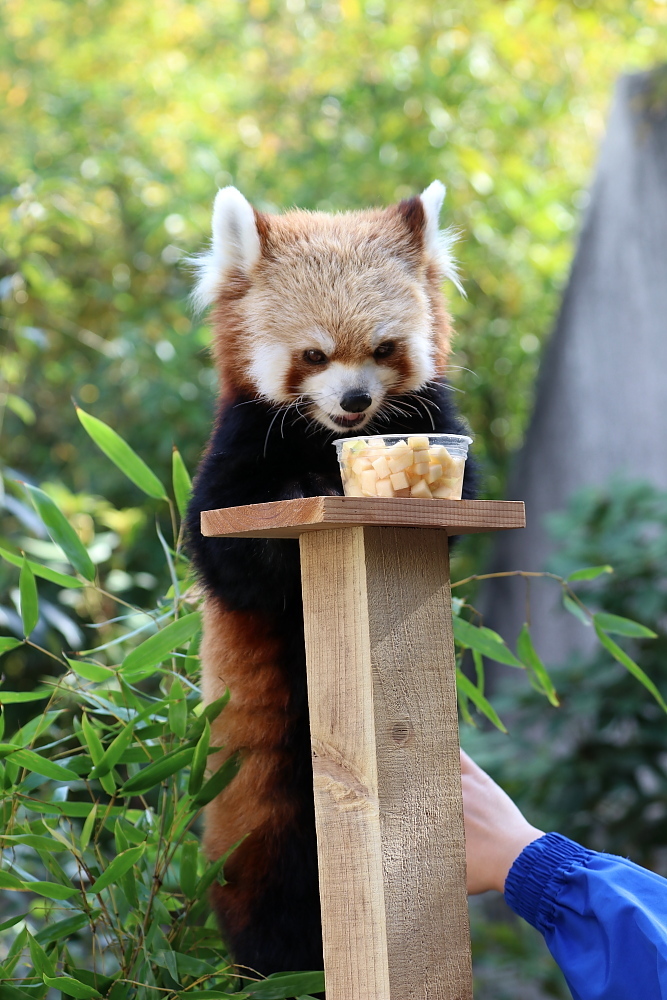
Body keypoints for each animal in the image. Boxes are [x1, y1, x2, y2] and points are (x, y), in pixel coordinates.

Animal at [183, 184, 474, 980]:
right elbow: (232, 559)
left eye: (383, 348)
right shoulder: (235, 452)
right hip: (262, 798)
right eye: (313, 354)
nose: (353, 402)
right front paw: (312, 488)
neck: (325, 439)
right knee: (268, 896)